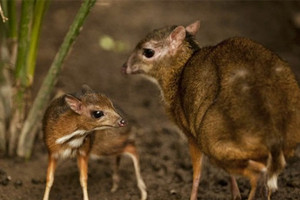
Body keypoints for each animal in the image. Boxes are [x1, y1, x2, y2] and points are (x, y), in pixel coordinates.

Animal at [122, 20, 300, 200]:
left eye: (148, 52)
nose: (124, 66)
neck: (178, 73)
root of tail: (272, 132)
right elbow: (228, 173)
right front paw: (235, 194)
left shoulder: (190, 135)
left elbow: (197, 173)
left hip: (211, 141)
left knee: (258, 174)